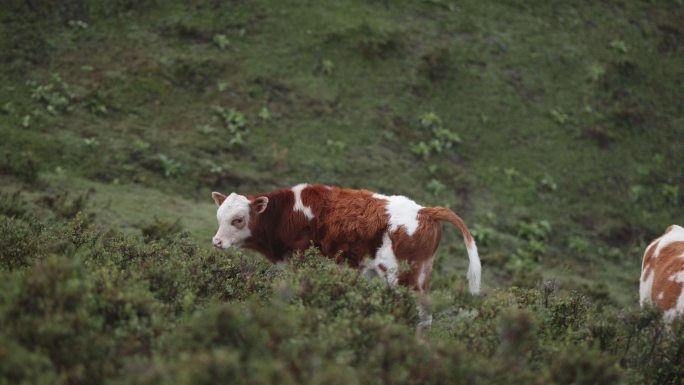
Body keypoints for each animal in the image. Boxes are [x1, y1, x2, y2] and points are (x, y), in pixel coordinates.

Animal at [211, 183, 484, 324]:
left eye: (238, 219)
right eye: (219, 216)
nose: (216, 241)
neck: (287, 213)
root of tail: (426, 211)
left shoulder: (300, 261)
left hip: (401, 277)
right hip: (422, 274)